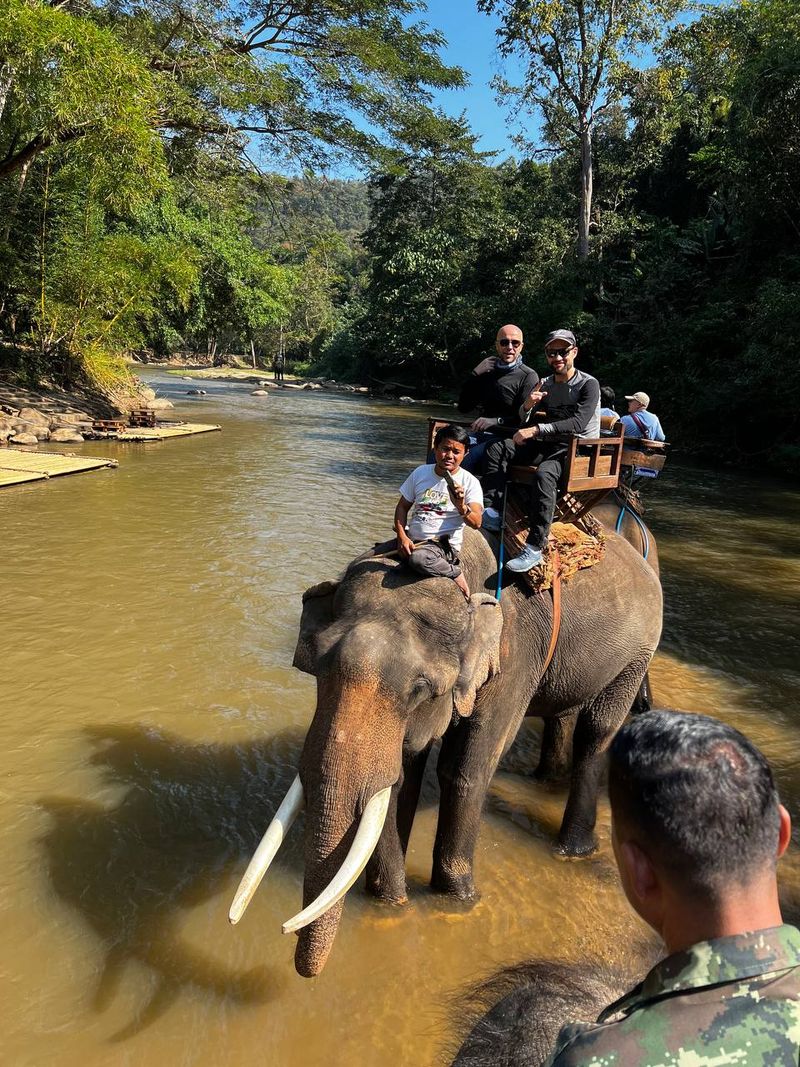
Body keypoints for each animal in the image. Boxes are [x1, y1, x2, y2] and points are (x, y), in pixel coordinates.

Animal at [230, 522, 665, 977]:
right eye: (314, 668)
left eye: (421, 688)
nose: (298, 960)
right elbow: (402, 773)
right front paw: (391, 902)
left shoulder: (512, 660)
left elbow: (466, 768)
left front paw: (457, 899)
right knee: (562, 714)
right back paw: (547, 784)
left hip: (638, 652)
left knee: (597, 730)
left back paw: (571, 851)